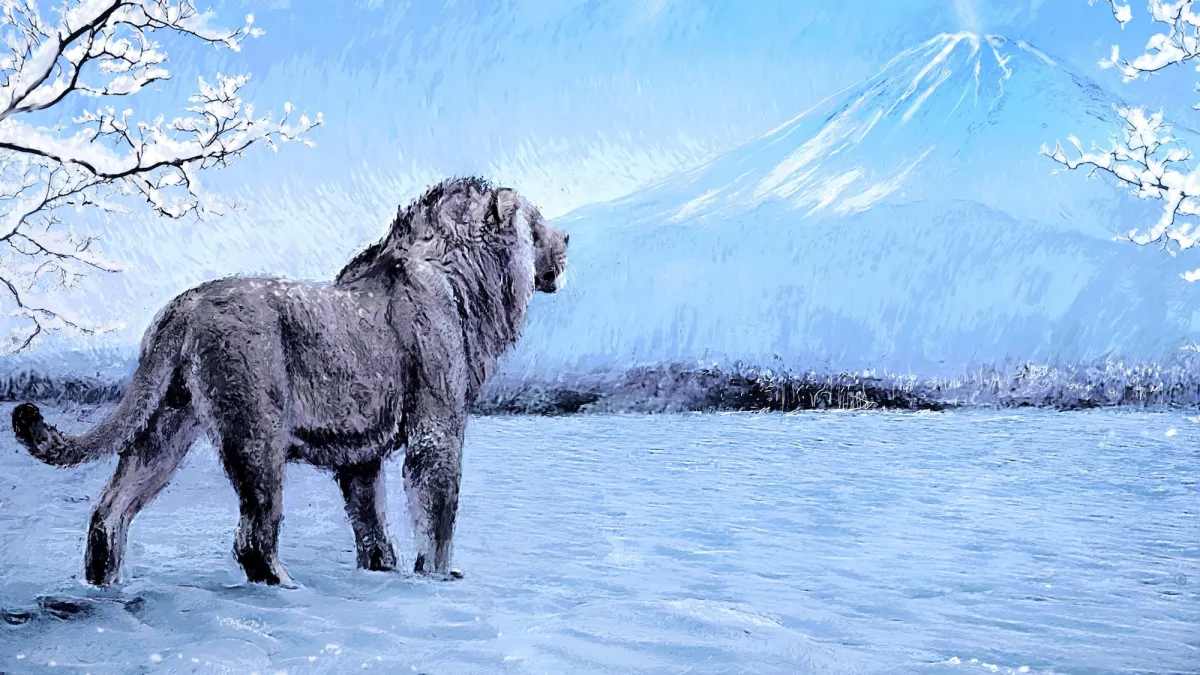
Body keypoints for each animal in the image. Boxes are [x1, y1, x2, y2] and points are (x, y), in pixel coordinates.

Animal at [10, 177, 569, 587]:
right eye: (537, 223)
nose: (568, 242)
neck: (467, 282)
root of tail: (182, 307)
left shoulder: (360, 455)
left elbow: (370, 521)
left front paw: (382, 572)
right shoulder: (437, 425)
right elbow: (438, 508)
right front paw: (438, 577)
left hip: (164, 427)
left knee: (110, 512)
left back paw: (104, 585)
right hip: (256, 431)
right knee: (254, 537)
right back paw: (287, 585)